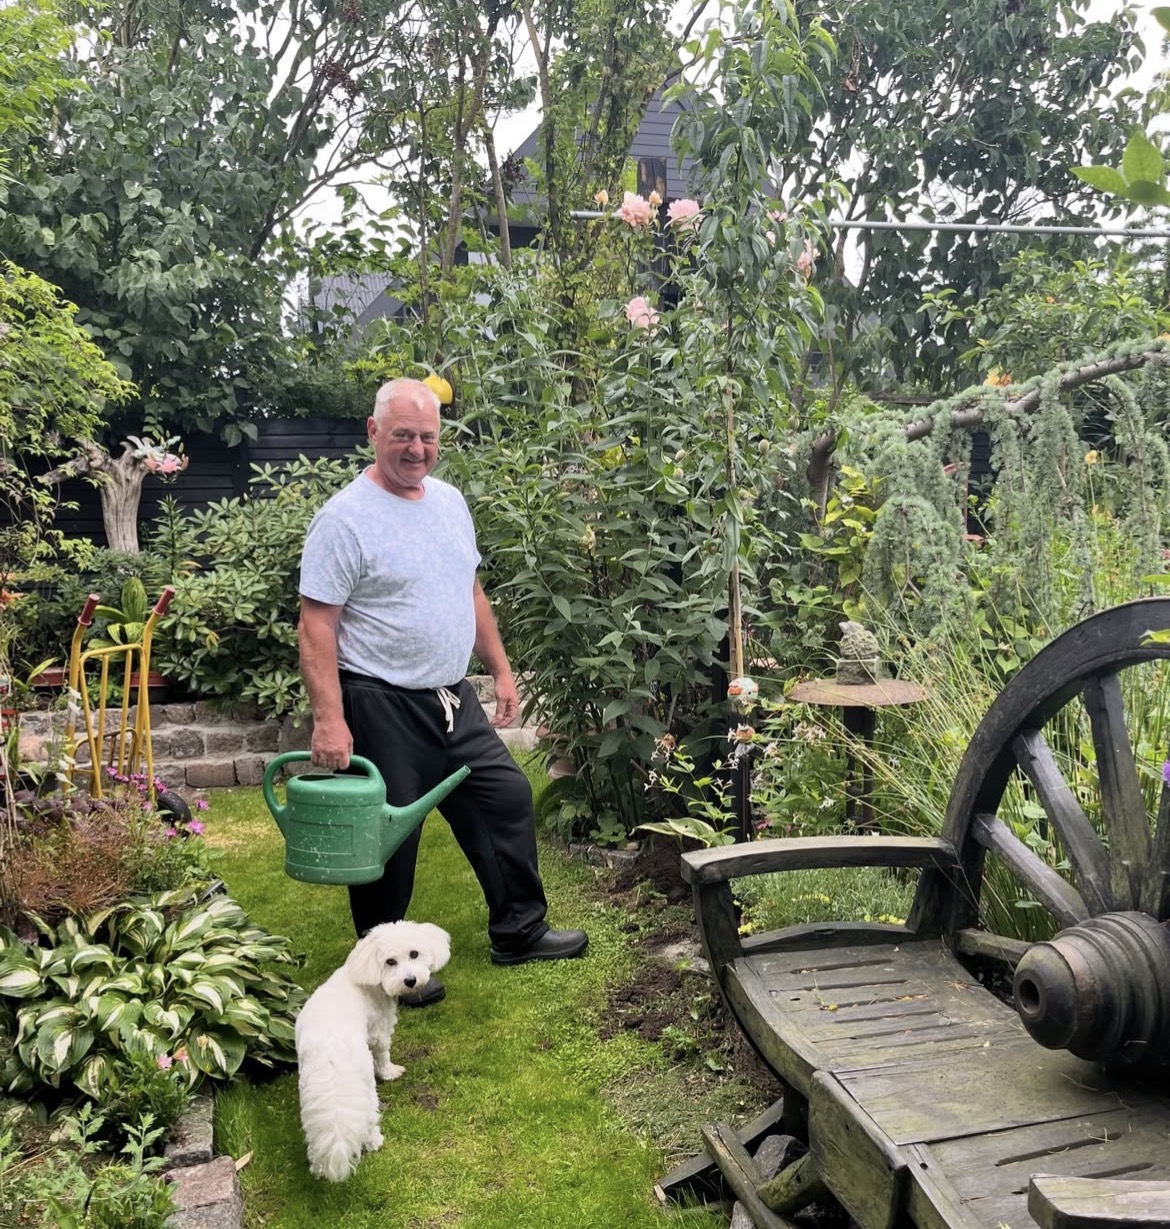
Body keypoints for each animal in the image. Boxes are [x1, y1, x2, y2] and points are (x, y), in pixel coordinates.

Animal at [295, 920, 451, 1181]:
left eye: (414, 954)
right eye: (390, 961)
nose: (410, 980)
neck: (368, 978)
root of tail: (329, 1054)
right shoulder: (379, 1030)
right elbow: (383, 1053)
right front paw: (390, 1072)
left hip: (312, 1099)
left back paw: (318, 1168)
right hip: (364, 1085)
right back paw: (375, 1141)